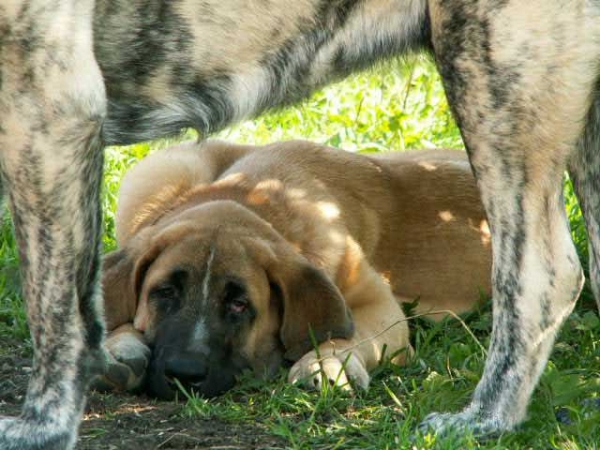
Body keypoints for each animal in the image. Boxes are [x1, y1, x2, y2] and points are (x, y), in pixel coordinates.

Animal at [99, 140, 492, 398]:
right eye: (164, 292)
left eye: (239, 305)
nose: (184, 372)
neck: (256, 195)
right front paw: (120, 345)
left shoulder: (379, 305)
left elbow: (348, 334)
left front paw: (325, 364)